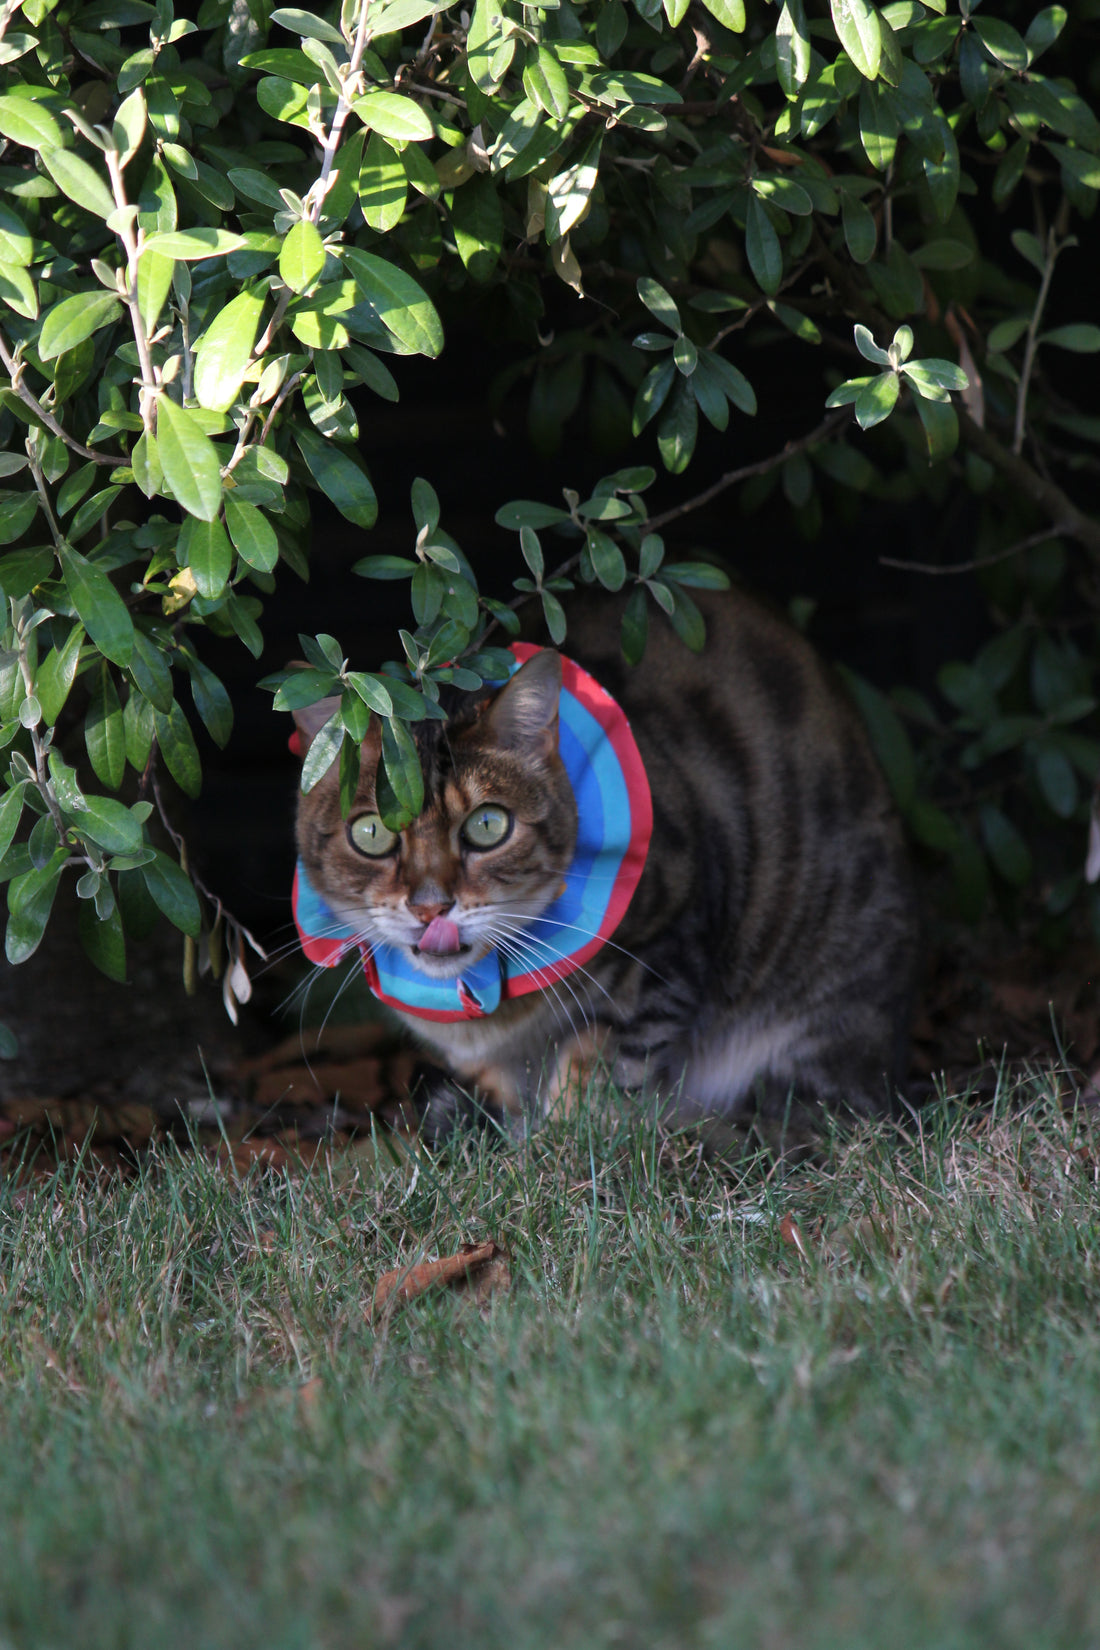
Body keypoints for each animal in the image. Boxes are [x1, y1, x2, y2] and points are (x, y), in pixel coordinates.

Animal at [288, 587, 916, 1141]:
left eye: (488, 826)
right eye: (371, 834)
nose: (430, 907)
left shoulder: (669, 943)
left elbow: (599, 1071)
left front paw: (561, 1151)